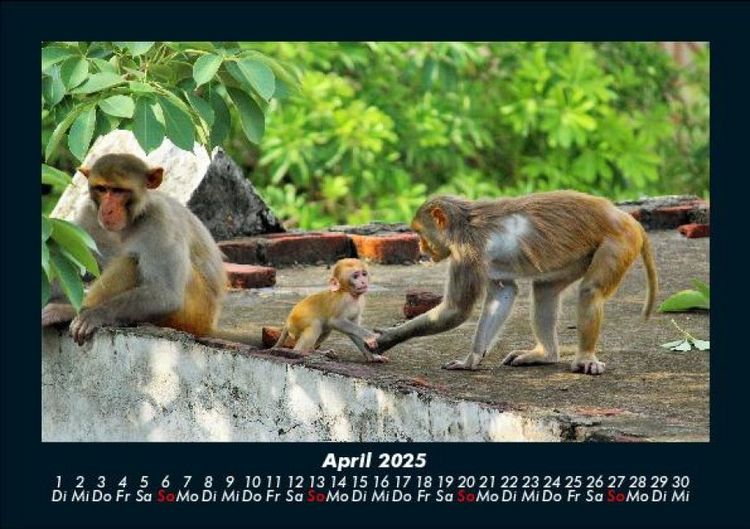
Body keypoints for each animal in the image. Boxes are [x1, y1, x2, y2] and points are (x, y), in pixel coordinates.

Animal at [41, 153, 227, 345]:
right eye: (102, 189)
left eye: (119, 191)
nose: (107, 210)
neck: (129, 223)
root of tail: (208, 326)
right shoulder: (89, 216)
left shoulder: (160, 220)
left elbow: (165, 294)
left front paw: (96, 314)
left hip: (193, 314)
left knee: (130, 261)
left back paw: (73, 311)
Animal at [370, 191, 658, 375]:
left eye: (420, 233)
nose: (420, 247)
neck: (464, 222)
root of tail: (625, 217)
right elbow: (503, 294)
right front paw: (472, 359)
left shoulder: (466, 252)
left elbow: (456, 310)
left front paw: (386, 338)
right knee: (544, 291)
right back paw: (545, 355)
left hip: (618, 242)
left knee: (590, 291)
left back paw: (585, 356)